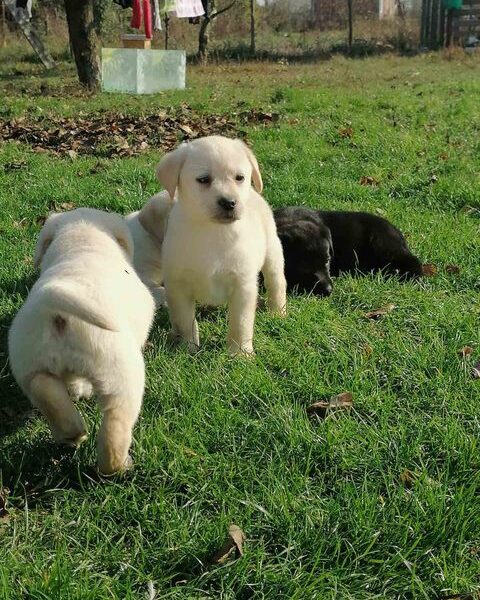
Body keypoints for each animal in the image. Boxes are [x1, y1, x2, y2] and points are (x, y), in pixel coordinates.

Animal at [8, 209, 155, 476]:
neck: (82, 242)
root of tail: (58, 310)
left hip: (29, 363)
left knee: (44, 388)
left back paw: (72, 432)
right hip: (121, 372)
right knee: (116, 422)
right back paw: (118, 466)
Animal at [158, 135, 286, 356]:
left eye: (239, 177)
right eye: (203, 179)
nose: (229, 202)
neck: (213, 231)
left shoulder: (243, 285)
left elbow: (240, 324)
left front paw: (240, 354)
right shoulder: (178, 285)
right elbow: (184, 321)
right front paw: (187, 349)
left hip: (272, 252)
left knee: (277, 282)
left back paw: (278, 312)